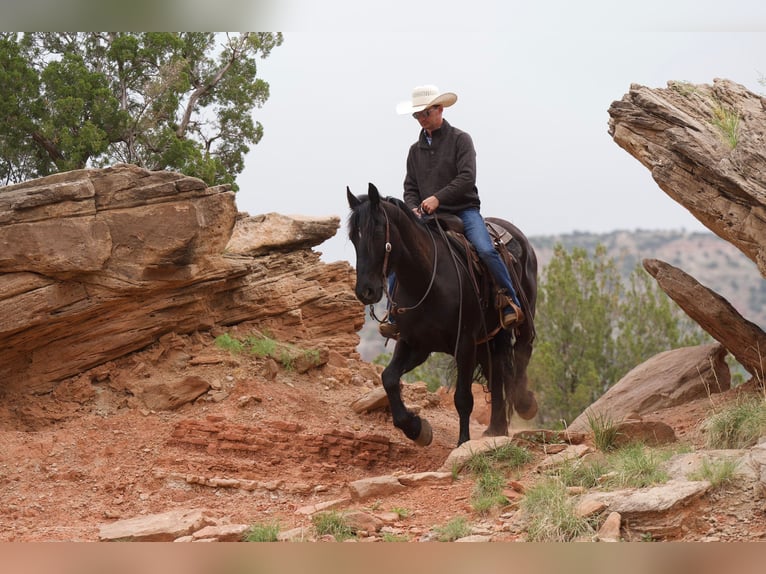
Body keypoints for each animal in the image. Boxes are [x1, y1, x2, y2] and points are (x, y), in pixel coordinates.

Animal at [346, 183, 539, 447]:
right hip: (488, 338)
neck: (427, 280)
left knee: (521, 353)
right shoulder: (415, 343)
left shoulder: (464, 343)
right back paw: (496, 428)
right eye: (353, 237)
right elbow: (389, 378)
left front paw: (463, 442)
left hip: (521, 320)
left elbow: (463, 398)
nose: (365, 290)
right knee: (497, 370)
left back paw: (524, 404)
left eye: (376, 231)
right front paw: (416, 429)